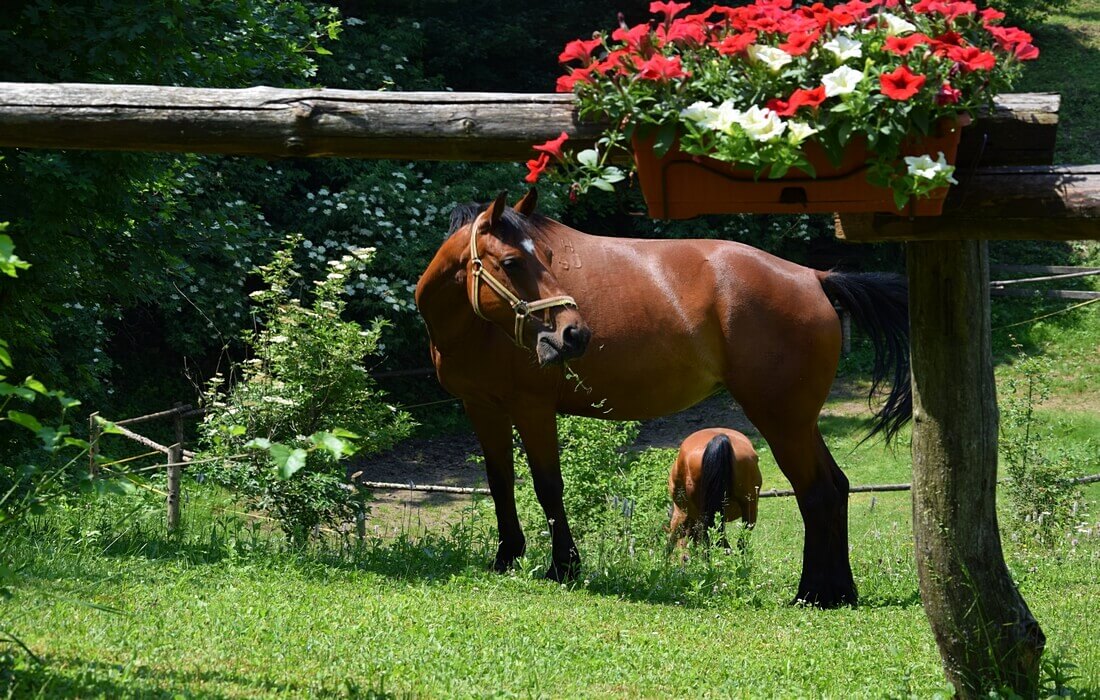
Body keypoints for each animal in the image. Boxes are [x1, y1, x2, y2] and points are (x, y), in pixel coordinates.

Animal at [414, 189, 909, 607]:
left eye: (549, 256)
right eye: (512, 261)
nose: (574, 334)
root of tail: (814, 277)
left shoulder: (531, 408)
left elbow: (547, 486)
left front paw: (564, 566)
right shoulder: (482, 408)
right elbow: (500, 483)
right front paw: (506, 557)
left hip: (782, 422)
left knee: (817, 493)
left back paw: (813, 593)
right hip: (800, 422)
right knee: (837, 487)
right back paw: (840, 591)